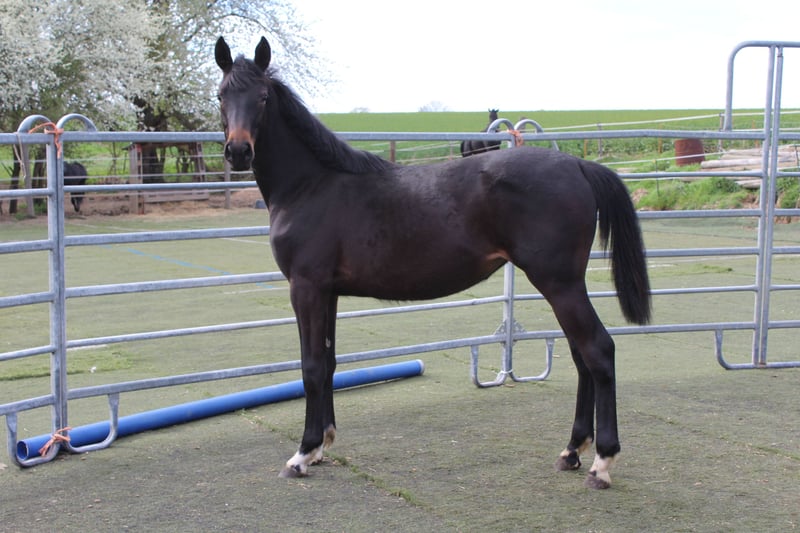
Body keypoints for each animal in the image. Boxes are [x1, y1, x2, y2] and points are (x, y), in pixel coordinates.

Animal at [214, 36, 651, 489]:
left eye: (263, 97)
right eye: (221, 96)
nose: (238, 151)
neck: (312, 185)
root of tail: (579, 164)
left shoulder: (307, 288)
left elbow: (312, 366)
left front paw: (302, 454)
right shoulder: (327, 292)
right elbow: (330, 362)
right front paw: (323, 445)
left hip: (559, 283)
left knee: (598, 350)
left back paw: (602, 463)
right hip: (560, 285)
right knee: (582, 356)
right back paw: (571, 451)